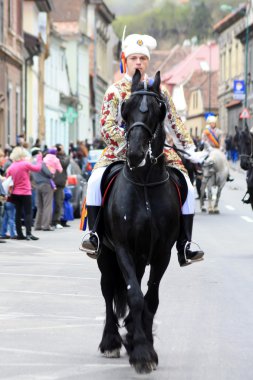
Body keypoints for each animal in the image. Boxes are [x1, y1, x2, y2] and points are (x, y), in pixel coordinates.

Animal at [97, 70, 182, 372]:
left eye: (159, 110)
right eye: (126, 108)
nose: (134, 152)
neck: (144, 183)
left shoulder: (161, 252)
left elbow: (150, 299)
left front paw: (143, 344)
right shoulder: (122, 249)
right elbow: (133, 294)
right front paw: (142, 353)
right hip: (105, 255)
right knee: (108, 291)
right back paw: (110, 340)